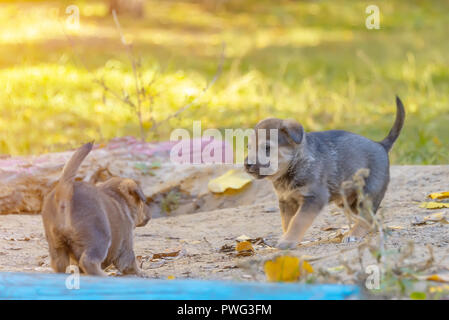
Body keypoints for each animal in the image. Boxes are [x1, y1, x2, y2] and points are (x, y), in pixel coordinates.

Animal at [42, 142, 150, 276]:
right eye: (142, 202)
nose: (149, 213)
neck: (119, 199)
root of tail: (65, 190)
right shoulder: (126, 246)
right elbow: (131, 263)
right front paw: (142, 272)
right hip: (100, 238)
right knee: (88, 261)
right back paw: (103, 275)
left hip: (56, 245)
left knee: (59, 264)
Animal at [245, 96, 406, 249]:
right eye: (249, 147)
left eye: (267, 148)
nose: (247, 164)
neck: (294, 165)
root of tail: (381, 145)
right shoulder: (286, 201)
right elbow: (287, 223)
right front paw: (287, 238)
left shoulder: (314, 198)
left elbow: (298, 221)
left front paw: (288, 241)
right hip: (348, 202)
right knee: (370, 219)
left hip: (367, 195)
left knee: (366, 218)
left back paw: (353, 235)